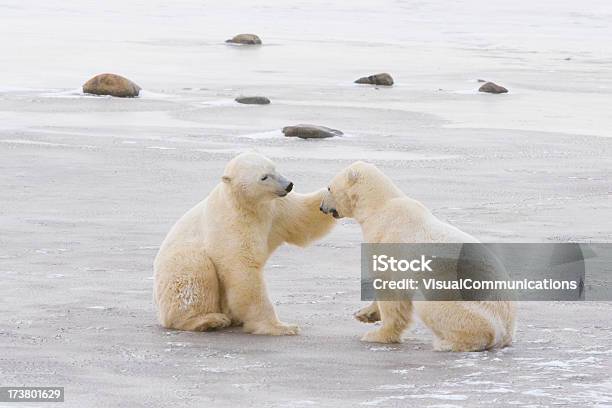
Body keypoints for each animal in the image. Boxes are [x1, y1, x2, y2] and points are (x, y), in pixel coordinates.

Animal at [153, 153, 334, 334]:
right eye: (264, 177)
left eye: (274, 168)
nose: (289, 185)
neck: (248, 204)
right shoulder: (232, 223)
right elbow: (242, 268)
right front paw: (281, 327)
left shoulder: (276, 208)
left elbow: (304, 217)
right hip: (176, 268)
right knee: (194, 269)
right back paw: (209, 320)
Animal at [320, 162, 516, 350]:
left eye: (329, 188)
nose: (321, 207)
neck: (379, 206)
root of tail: (505, 331)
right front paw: (364, 314)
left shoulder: (386, 240)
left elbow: (390, 289)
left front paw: (377, 335)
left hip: (464, 301)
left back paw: (447, 344)